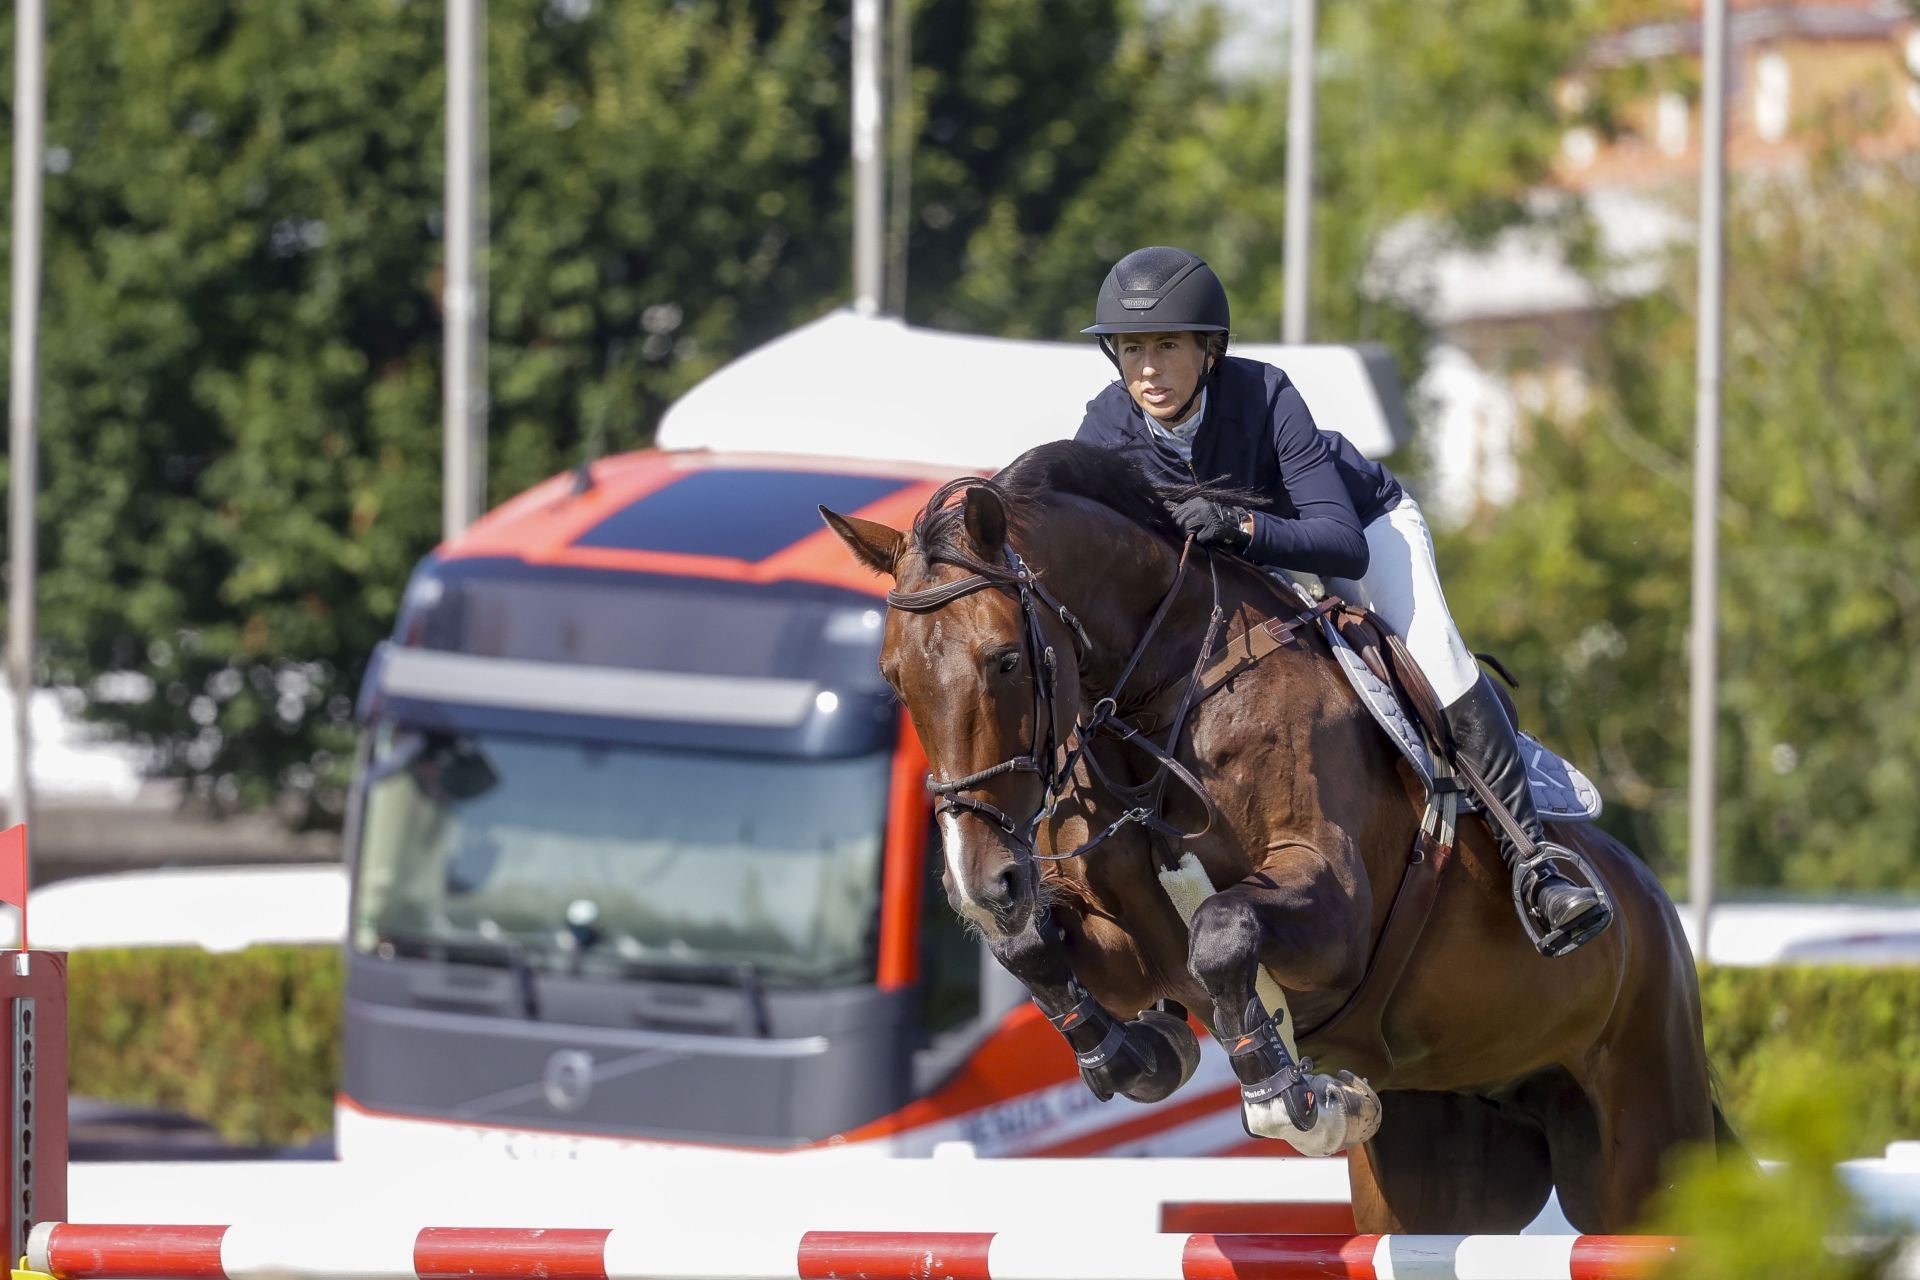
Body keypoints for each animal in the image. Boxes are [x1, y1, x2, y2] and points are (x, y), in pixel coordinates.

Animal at [825, 441, 1728, 1228]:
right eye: (893, 677)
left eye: (1007, 660)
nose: (982, 883)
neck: (1158, 707)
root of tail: (1655, 906)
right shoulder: (1129, 941)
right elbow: (1034, 948)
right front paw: (1138, 1055)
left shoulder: (1334, 908)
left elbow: (1224, 931)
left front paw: (1285, 1094)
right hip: (1440, 1162)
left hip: (1642, 1146)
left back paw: (1559, 894)